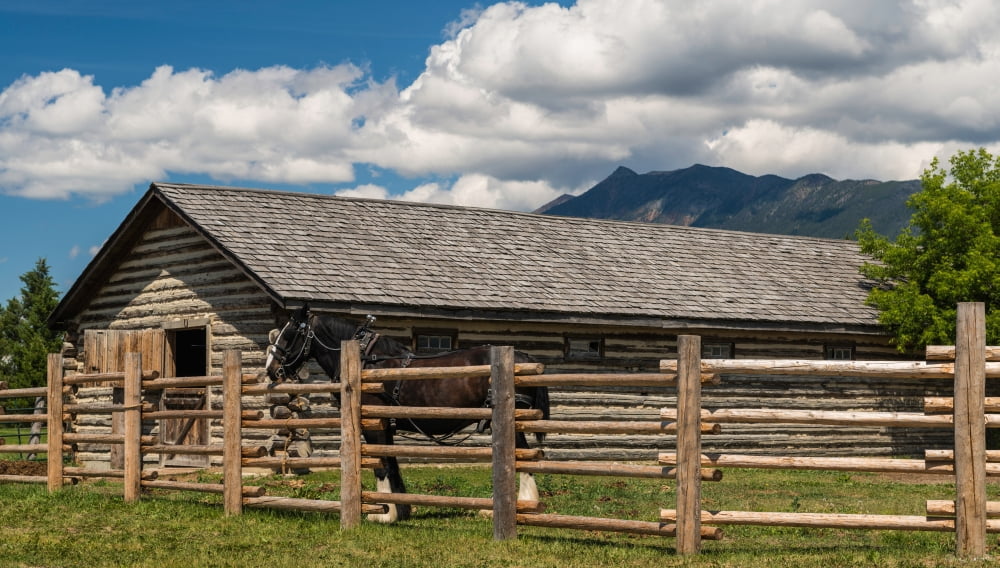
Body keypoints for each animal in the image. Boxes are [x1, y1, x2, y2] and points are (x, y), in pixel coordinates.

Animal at [264, 304, 549, 523]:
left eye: (289, 334)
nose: (271, 368)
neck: (365, 362)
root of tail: (523, 357)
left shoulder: (373, 425)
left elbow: (381, 465)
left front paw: (382, 514)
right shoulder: (386, 425)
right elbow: (392, 464)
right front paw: (399, 509)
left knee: (522, 457)